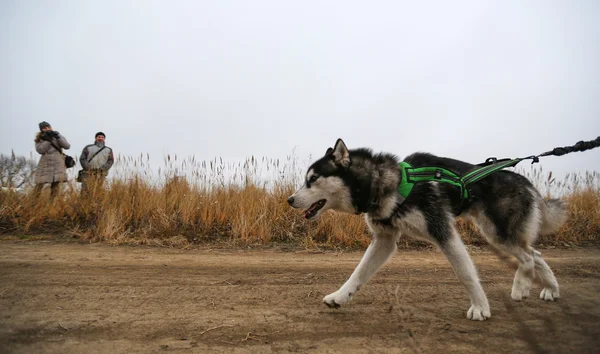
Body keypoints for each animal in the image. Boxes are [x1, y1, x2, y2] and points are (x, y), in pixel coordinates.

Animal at [288, 139, 568, 320]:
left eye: (312, 179)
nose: (290, 199)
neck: (388, 185)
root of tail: (526, 181)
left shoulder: (443, 231)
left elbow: (466, 274)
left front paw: (480, 307)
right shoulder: (384, 240)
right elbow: (358, 274)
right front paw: (340, 297)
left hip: (497, 233)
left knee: (529, 256)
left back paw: (521, 286)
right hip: (500, 234)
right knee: (537, 254)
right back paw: (551, 289)